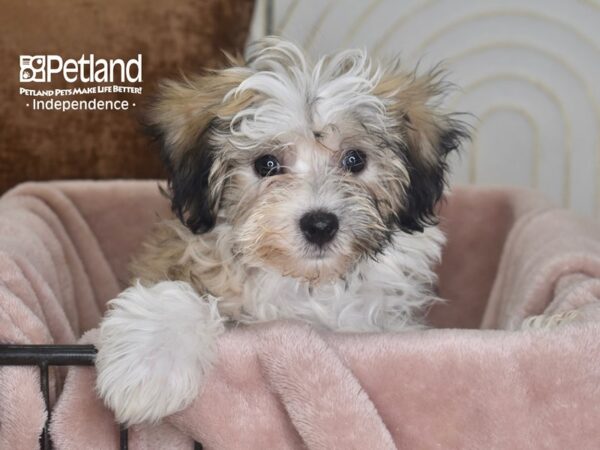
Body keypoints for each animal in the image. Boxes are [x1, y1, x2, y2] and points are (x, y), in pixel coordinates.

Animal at [94, 37, 468, 426]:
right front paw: (149, 368)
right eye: (266, 165)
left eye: (355, 160)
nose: (320, 224)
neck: (305, 285)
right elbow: (174, 292)